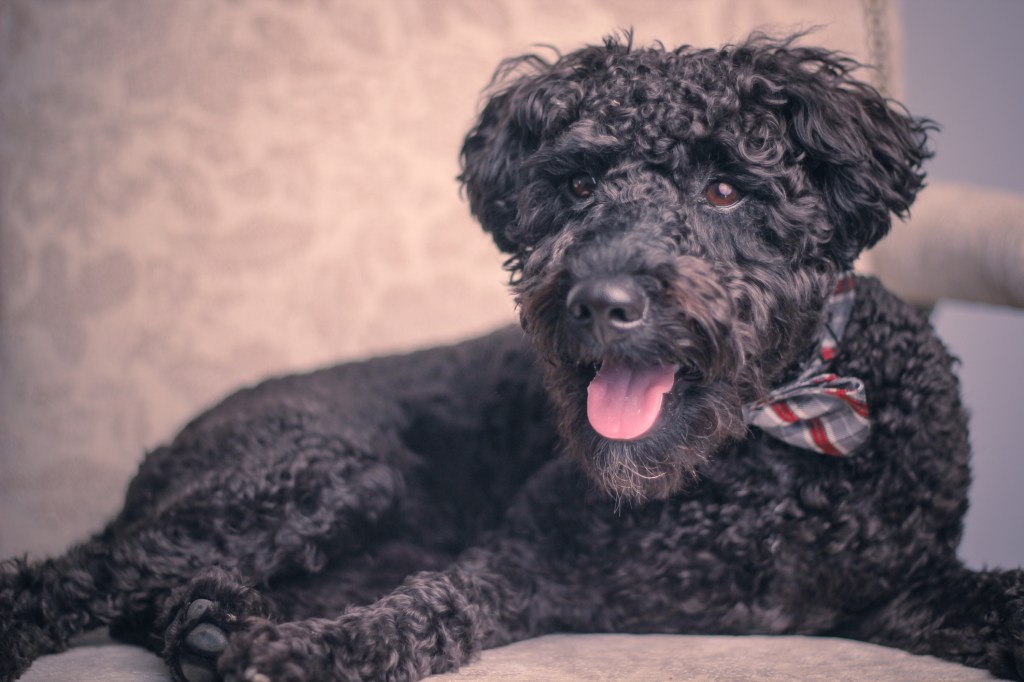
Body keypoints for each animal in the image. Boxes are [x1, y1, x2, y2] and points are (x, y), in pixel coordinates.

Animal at [2, 33, 1024, 679]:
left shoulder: (895, 592)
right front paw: (317, 654)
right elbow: (432, 605)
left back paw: (210, 627)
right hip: (320, 472)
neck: (760, 457)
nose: (601, 302)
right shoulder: (526, 559)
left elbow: (990, 602)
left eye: (728, 189)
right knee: (77, 573)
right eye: (576, 186)